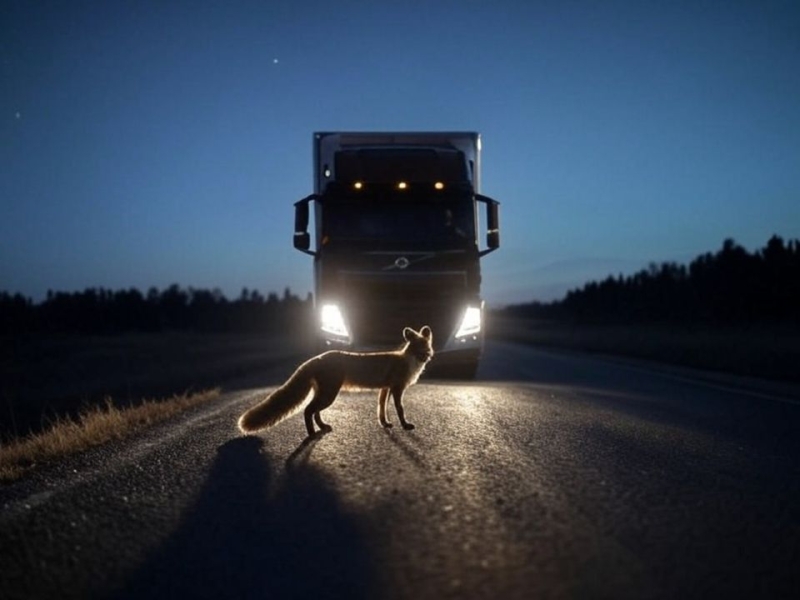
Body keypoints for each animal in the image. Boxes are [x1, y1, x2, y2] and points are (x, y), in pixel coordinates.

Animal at [238, 326, 434, 438]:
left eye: (428, 346)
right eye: (419, 347)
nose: (428, 356)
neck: (408, 360)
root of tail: (317, 358)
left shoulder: (385, 389)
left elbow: (382, 409)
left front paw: (385, 424)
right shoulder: (397, 388)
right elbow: (400, 409)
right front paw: (406, 425)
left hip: (324, 393)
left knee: (314, 411)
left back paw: (322, 427)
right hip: (329, 394)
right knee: (308, 410)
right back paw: (311, 434)